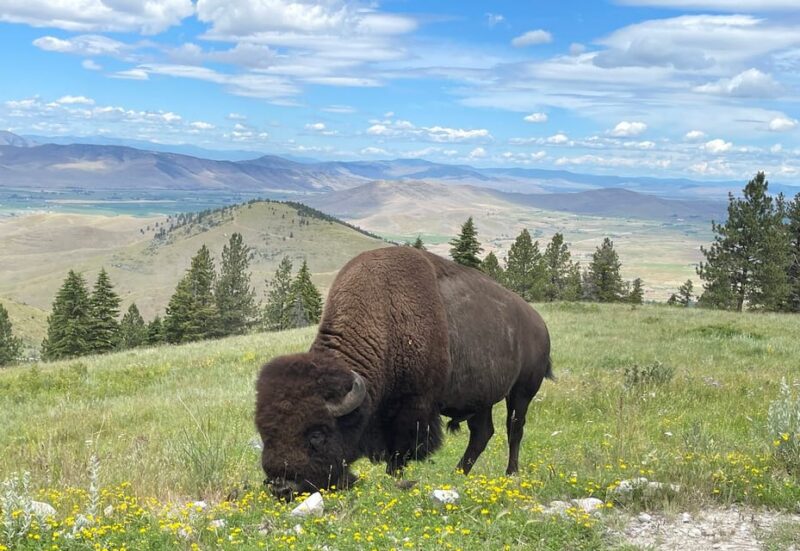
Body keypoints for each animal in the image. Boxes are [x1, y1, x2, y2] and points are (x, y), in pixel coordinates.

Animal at [255, 246, 552, 500]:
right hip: (481, 400)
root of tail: (538, 322)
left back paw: (510, 474)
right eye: (264, 432)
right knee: (482, 433)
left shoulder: (413, 408)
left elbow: (399, 451)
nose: (282, 487)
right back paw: (457, 475)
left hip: (522, 391)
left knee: (514, 429)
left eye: (317, 434)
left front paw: (395, 479)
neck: (383, 318)